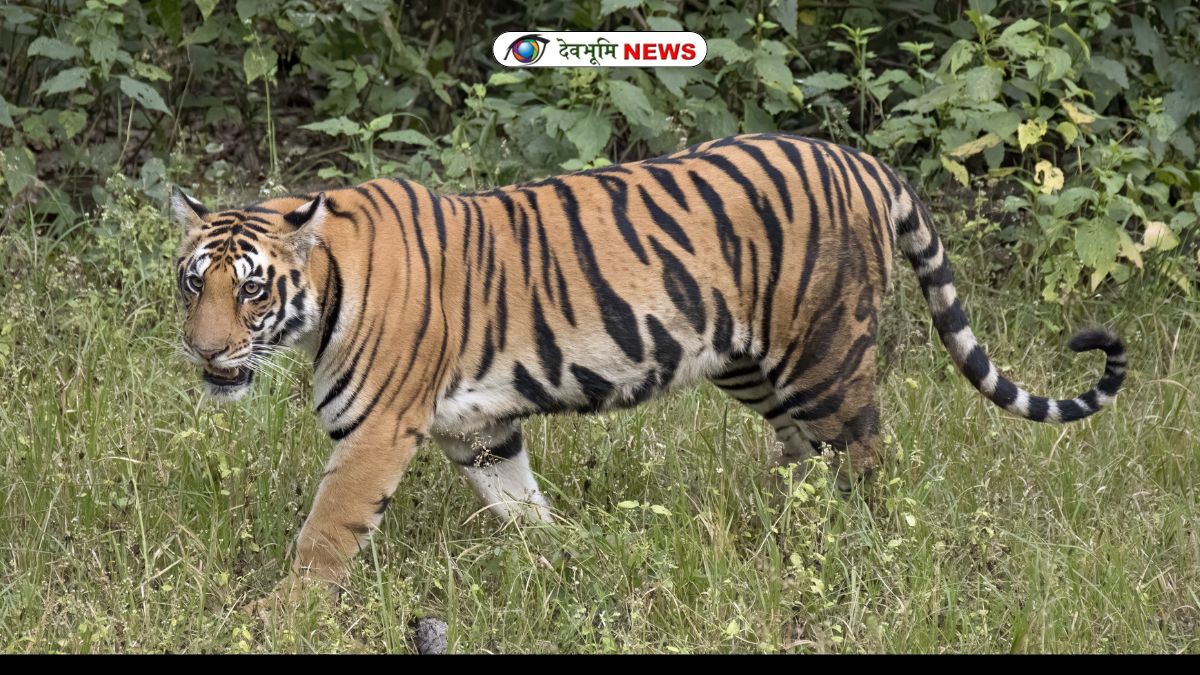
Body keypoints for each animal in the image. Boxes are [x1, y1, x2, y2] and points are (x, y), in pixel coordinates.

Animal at [171, 133, 1126, 603]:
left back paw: (864, 553)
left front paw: (285, 615)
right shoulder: (481, 428)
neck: (323, 293)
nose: (205, 351)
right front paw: (563, 559)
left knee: (866, 460)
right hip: (752, 364)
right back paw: (782, 536)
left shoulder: (375, 430)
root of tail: (863, 160)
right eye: (192, 282)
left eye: (251, 289)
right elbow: (522, 505)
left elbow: (326, 530)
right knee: (805, 458)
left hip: (825, 355)